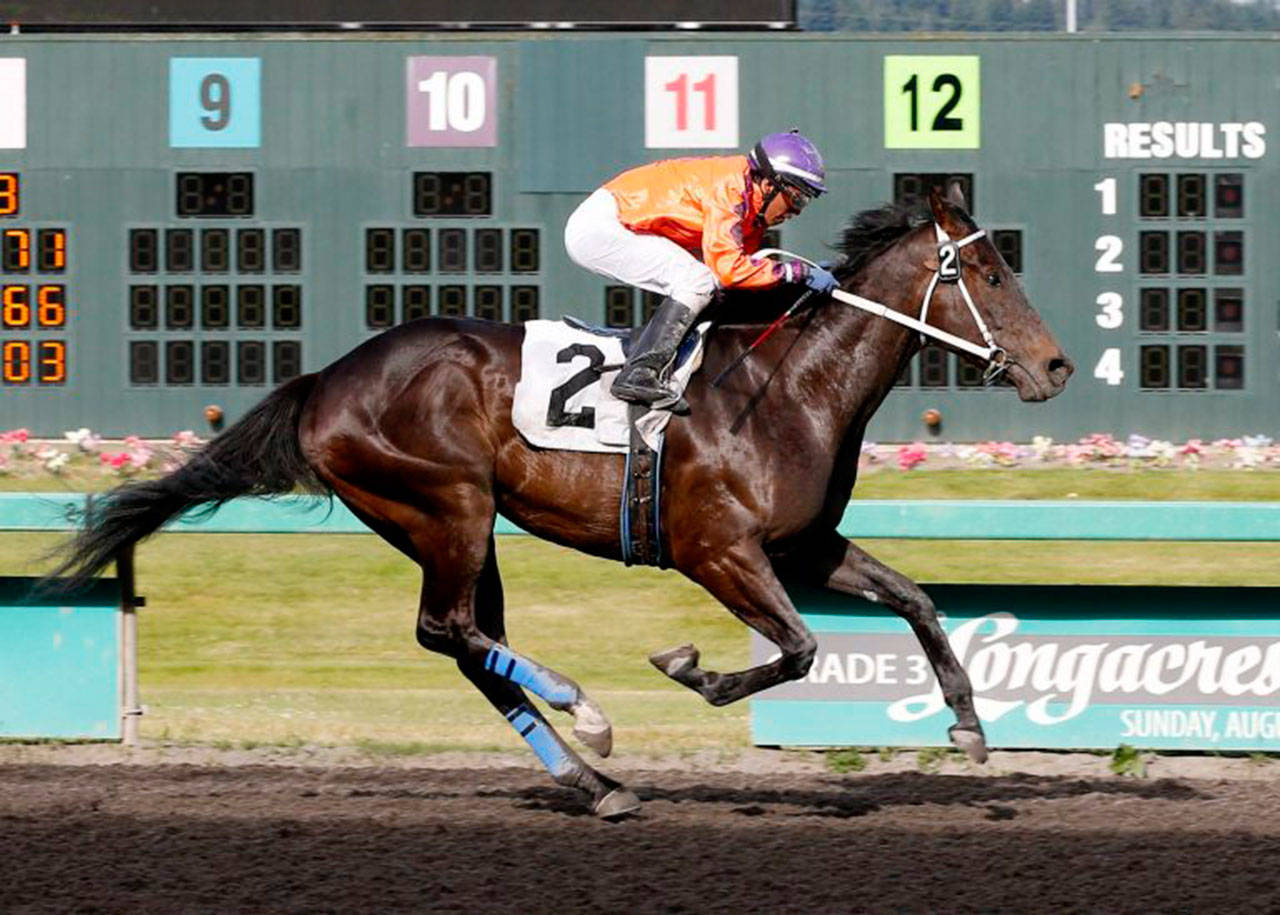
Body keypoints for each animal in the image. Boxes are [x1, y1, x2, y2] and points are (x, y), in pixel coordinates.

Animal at [52, 185, 1070, 813]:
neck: (788, 386)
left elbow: (916, 601)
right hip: (447, 504)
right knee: (451, 629)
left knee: (465, 642)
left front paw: (970, 723)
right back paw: (588, 713)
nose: (1057, 366)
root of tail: (327, 380)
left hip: (448, 523)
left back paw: (595, 782)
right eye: (988, 273)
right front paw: (690, 669)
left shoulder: (802, 543)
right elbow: (798, 651)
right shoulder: (719, 551)